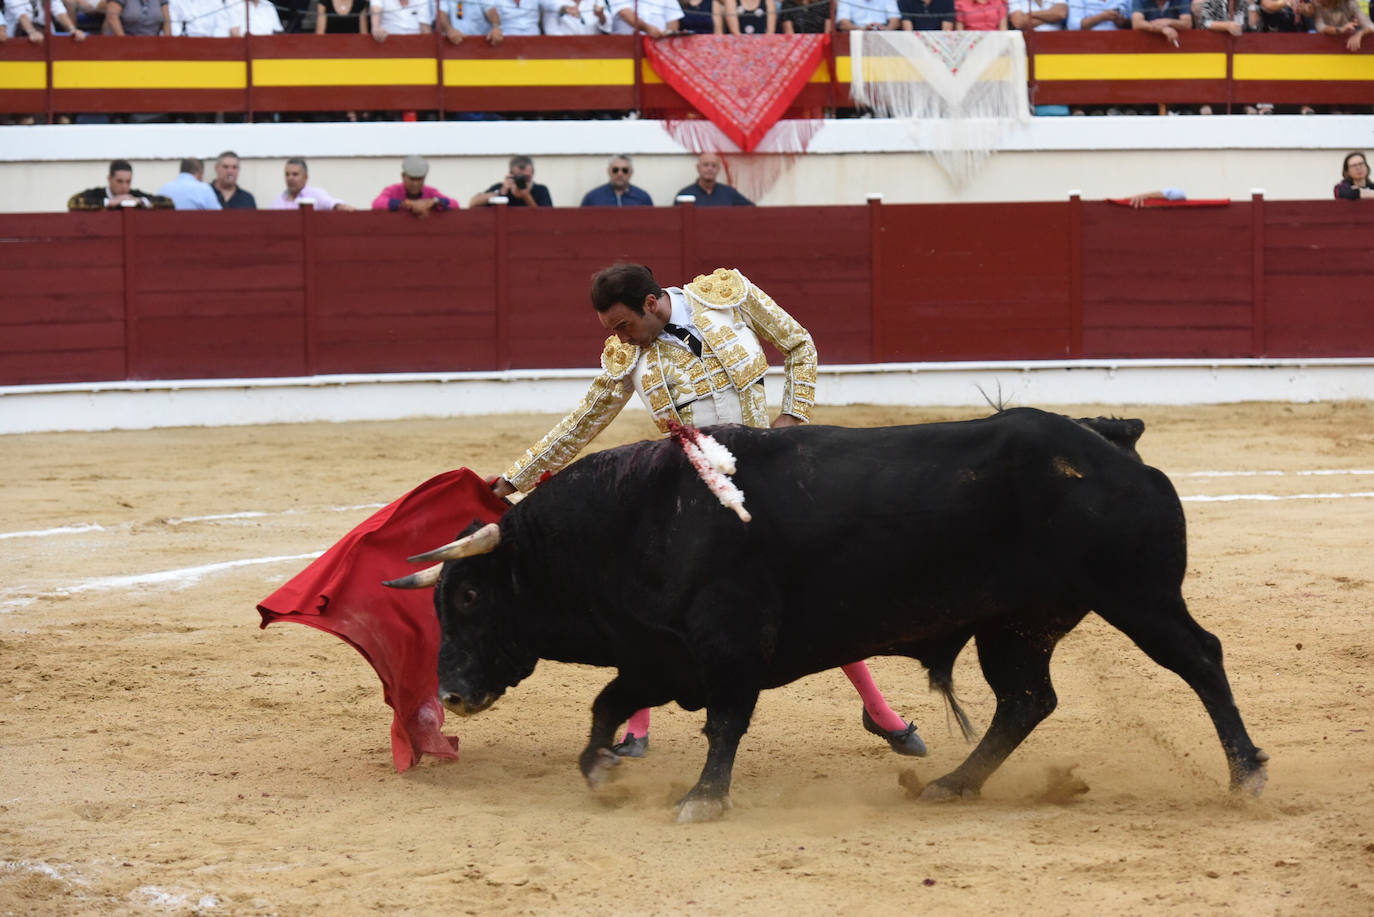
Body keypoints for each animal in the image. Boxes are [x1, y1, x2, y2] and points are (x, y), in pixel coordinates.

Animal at [403, 409, 1264, 824]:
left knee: (1202, 658)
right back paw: (951, 783)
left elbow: (724, 723)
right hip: (1013, 625)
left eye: (471, 596)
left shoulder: (730, 646)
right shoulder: (660, 655)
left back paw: (1246, 772)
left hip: (1139, 597)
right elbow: (605, 707)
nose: (448, 694)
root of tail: (1111, 443)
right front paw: (606, 770)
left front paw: (703, 799)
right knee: (1026, 699)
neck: (638, 518)